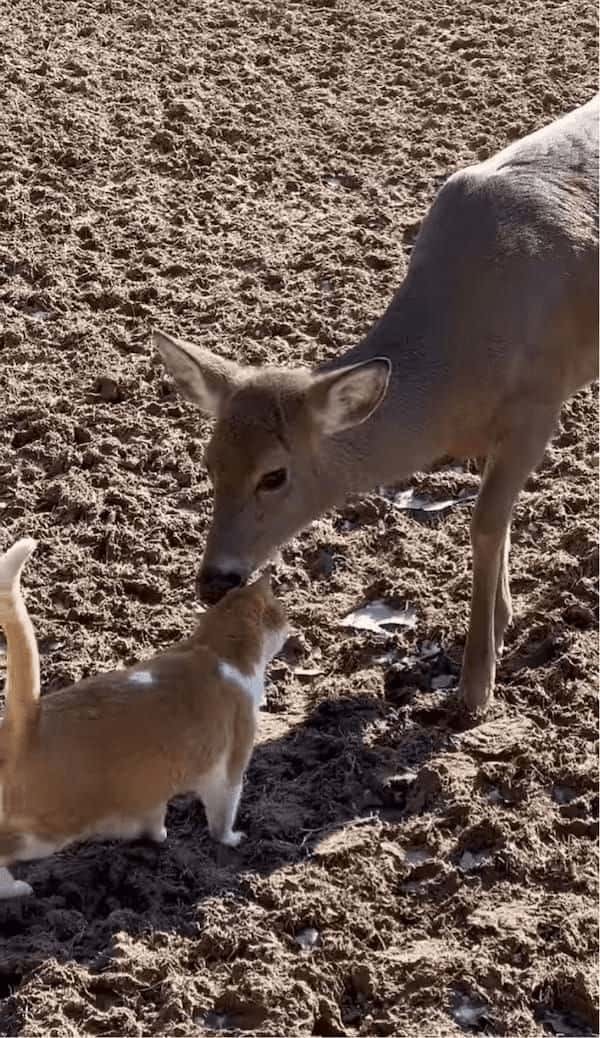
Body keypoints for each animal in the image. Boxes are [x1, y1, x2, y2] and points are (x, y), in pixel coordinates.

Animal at [0, 539, 286, 896]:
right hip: (48, 830)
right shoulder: (228, 769)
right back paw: (15, 890)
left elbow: (152, 816)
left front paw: (155, 836)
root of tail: (31, 719)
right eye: (283, 614)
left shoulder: (153, 787)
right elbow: (223, 814)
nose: (290, 626)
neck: (213, 649)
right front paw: (230, 839)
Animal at [155, 97, 597, 714]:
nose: (214, 580)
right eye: (209, 462)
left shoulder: (539, 404)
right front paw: (502, 621)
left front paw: (475, 684)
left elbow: (486, 523)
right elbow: (500, 519)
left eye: (275, 475)